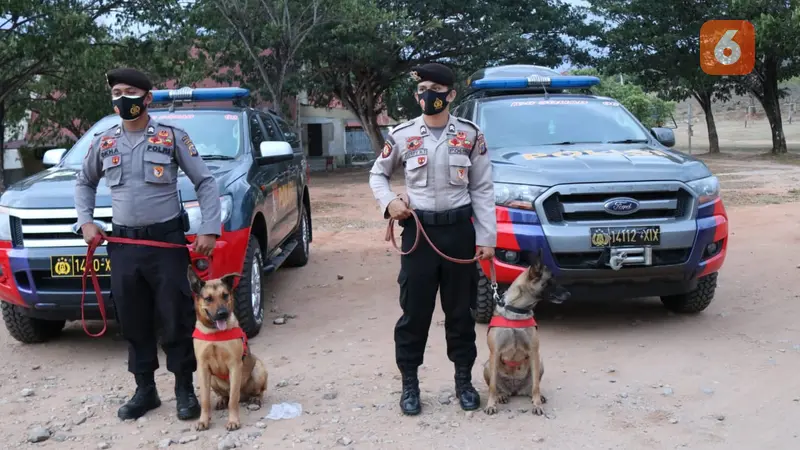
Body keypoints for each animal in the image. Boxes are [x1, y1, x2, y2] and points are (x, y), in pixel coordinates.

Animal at [189, 268, 270, 430]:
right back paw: (221, 400)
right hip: (213, 380)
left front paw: (233, 421)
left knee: (256, 391)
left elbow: (233, 400)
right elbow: (205, 400)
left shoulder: (235, 365)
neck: (214, 332)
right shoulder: (202, 367)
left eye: (225, 295)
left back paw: (255, 398)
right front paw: (203, 420)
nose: (222, 313)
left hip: (258, 370)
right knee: (225, 394)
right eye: (208, 298)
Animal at [482, 250, 568, 414]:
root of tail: (514, 390)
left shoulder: (534, 351)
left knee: (533, 385)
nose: (569, 294)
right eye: (551, 281)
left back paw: (536, 397)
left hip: (540, 362)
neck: (517, 311)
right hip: (487, 365)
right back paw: (501, 395)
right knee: (496, 386)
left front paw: (537, 405)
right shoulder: (494, 352)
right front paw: (490, 405)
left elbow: (536, 386)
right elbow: (492, 387)